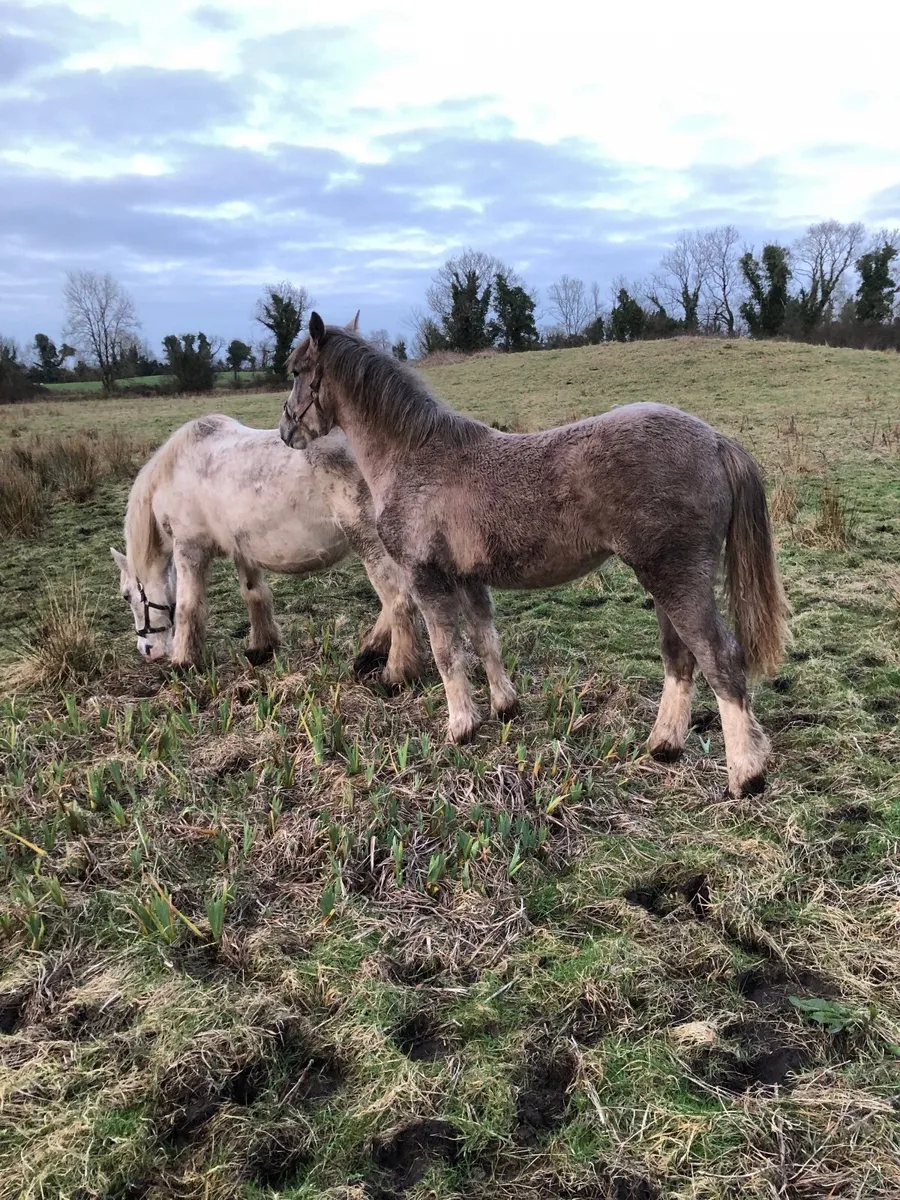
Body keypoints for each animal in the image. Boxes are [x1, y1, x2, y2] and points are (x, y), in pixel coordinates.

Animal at [111, 412, 424, 686]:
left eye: (127, 595)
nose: (146, 650)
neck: (176, 471)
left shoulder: (189, 548)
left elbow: (188, 607)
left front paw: (184, 662)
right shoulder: (242, 549)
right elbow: (254, 594)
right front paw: (262, 648)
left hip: (369, 541)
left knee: (398, 601)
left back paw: (396, 673)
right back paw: (371, 653)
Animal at [277, 313, 791, 799]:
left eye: (297, 370)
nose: (285, 430)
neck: (415, 457)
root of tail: (717, 441)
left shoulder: (426, 578)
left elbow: (446, 651)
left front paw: (460, 727)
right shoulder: (469, 577)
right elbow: (485, 640)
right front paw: (505, 707)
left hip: (677, 579)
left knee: (719, 658)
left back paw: (746, 774)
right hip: (664, 582)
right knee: (680, 658)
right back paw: (663, 745)